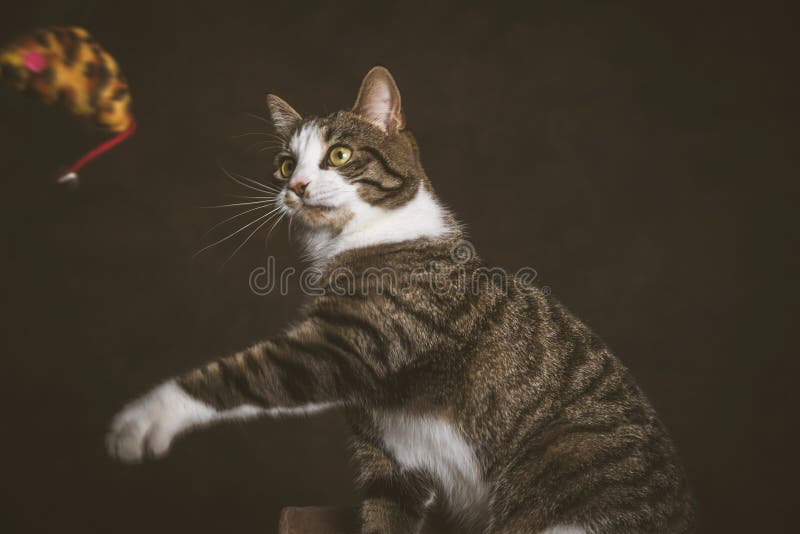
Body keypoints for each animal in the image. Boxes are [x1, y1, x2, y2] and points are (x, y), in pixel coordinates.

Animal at [106, 67, 692, 534]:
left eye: (339, 155)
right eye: (284, 164)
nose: (296, 186)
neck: (362, 237)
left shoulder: (353, 342)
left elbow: (252, 369)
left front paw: (146, 416)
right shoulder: (386, 455)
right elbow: (385, 511)